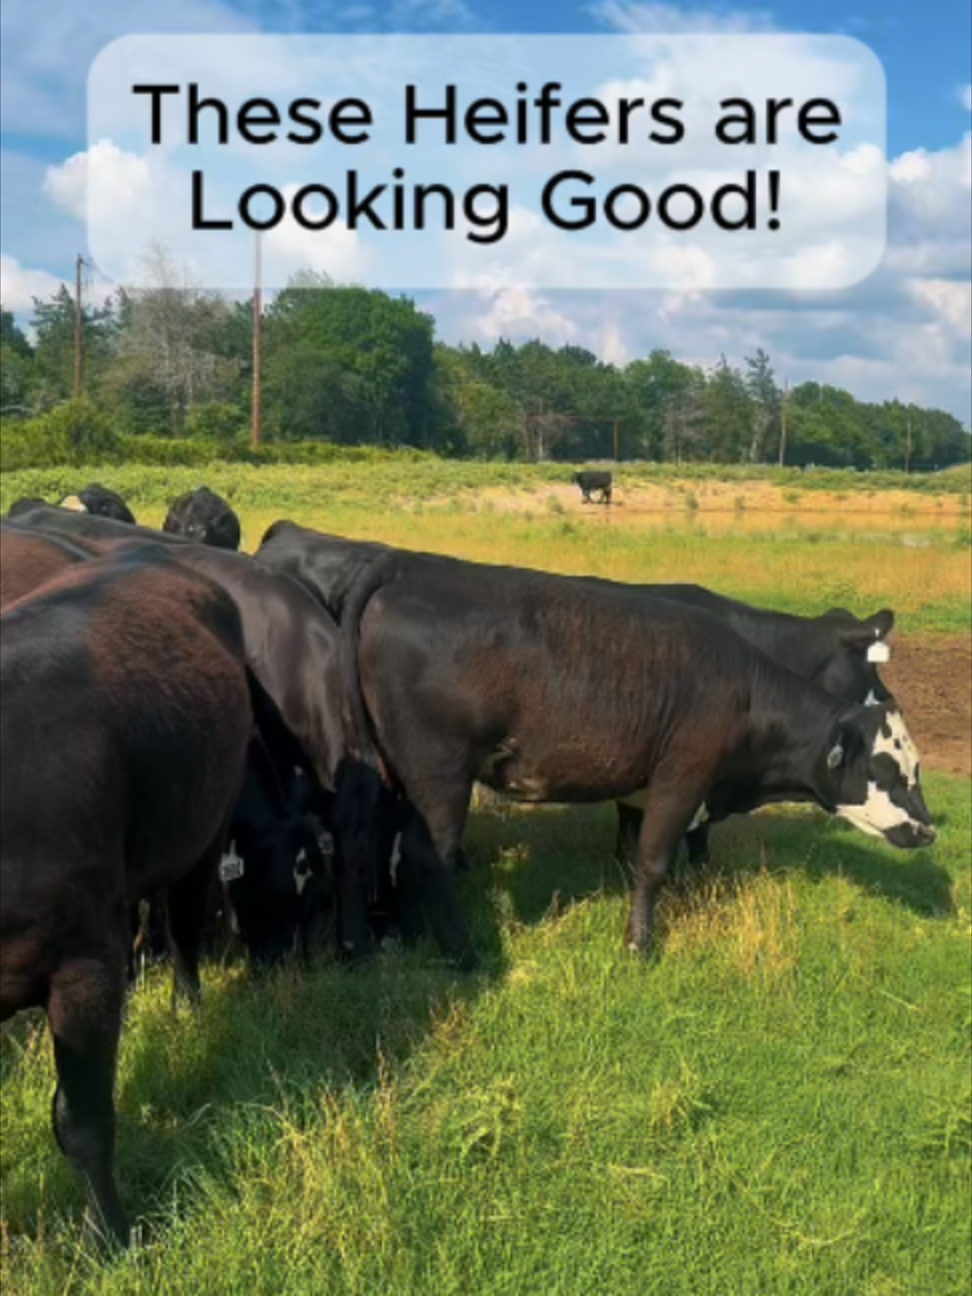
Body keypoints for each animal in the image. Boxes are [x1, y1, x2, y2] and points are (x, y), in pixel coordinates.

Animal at [0, 547, 254, 1246]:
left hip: (208, 826)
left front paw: (109, 1238)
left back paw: (187, 1009)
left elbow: (82, 1121)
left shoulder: (80, 960)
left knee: (186, 925)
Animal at [336, 549, 935, 971]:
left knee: (374, 845)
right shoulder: (681, 782)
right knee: (424, 853)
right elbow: (654, 862)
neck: (745, 689)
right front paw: (638, 946)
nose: (929, 831)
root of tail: (402, 575)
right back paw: (462, 953)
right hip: (440, 774)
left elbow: (631, 850)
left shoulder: (638, 785)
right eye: (884, 769)